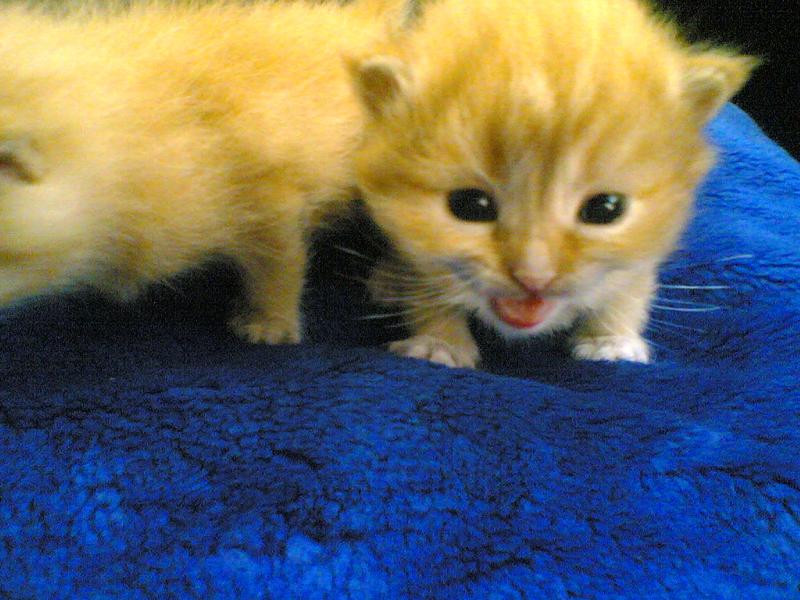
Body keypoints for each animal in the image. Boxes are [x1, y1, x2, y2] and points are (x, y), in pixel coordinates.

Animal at [348, 0, 757, 368]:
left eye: (605, 209)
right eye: (469, 205)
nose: (534, 278)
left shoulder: (648, 244)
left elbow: (631, 283)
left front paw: (611, 339)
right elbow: (427, 279)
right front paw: (439, 343)